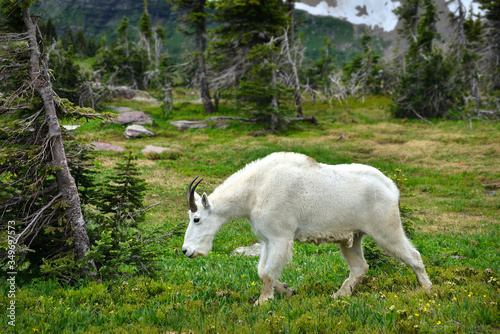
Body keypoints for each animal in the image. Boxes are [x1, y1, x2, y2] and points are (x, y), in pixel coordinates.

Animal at [182, 153, 432, 304]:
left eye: (196, 219)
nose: (186, 251)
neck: (253, 191)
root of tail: (392, 188)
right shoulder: (267, 240)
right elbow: (262, 271)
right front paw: (286, 289)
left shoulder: (280, 237)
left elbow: (267, 273)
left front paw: (263, 301)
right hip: (352, 237)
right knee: (360, 267)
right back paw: (339, 294)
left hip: (385, 229)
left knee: (413, 255)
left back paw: (426, 289)